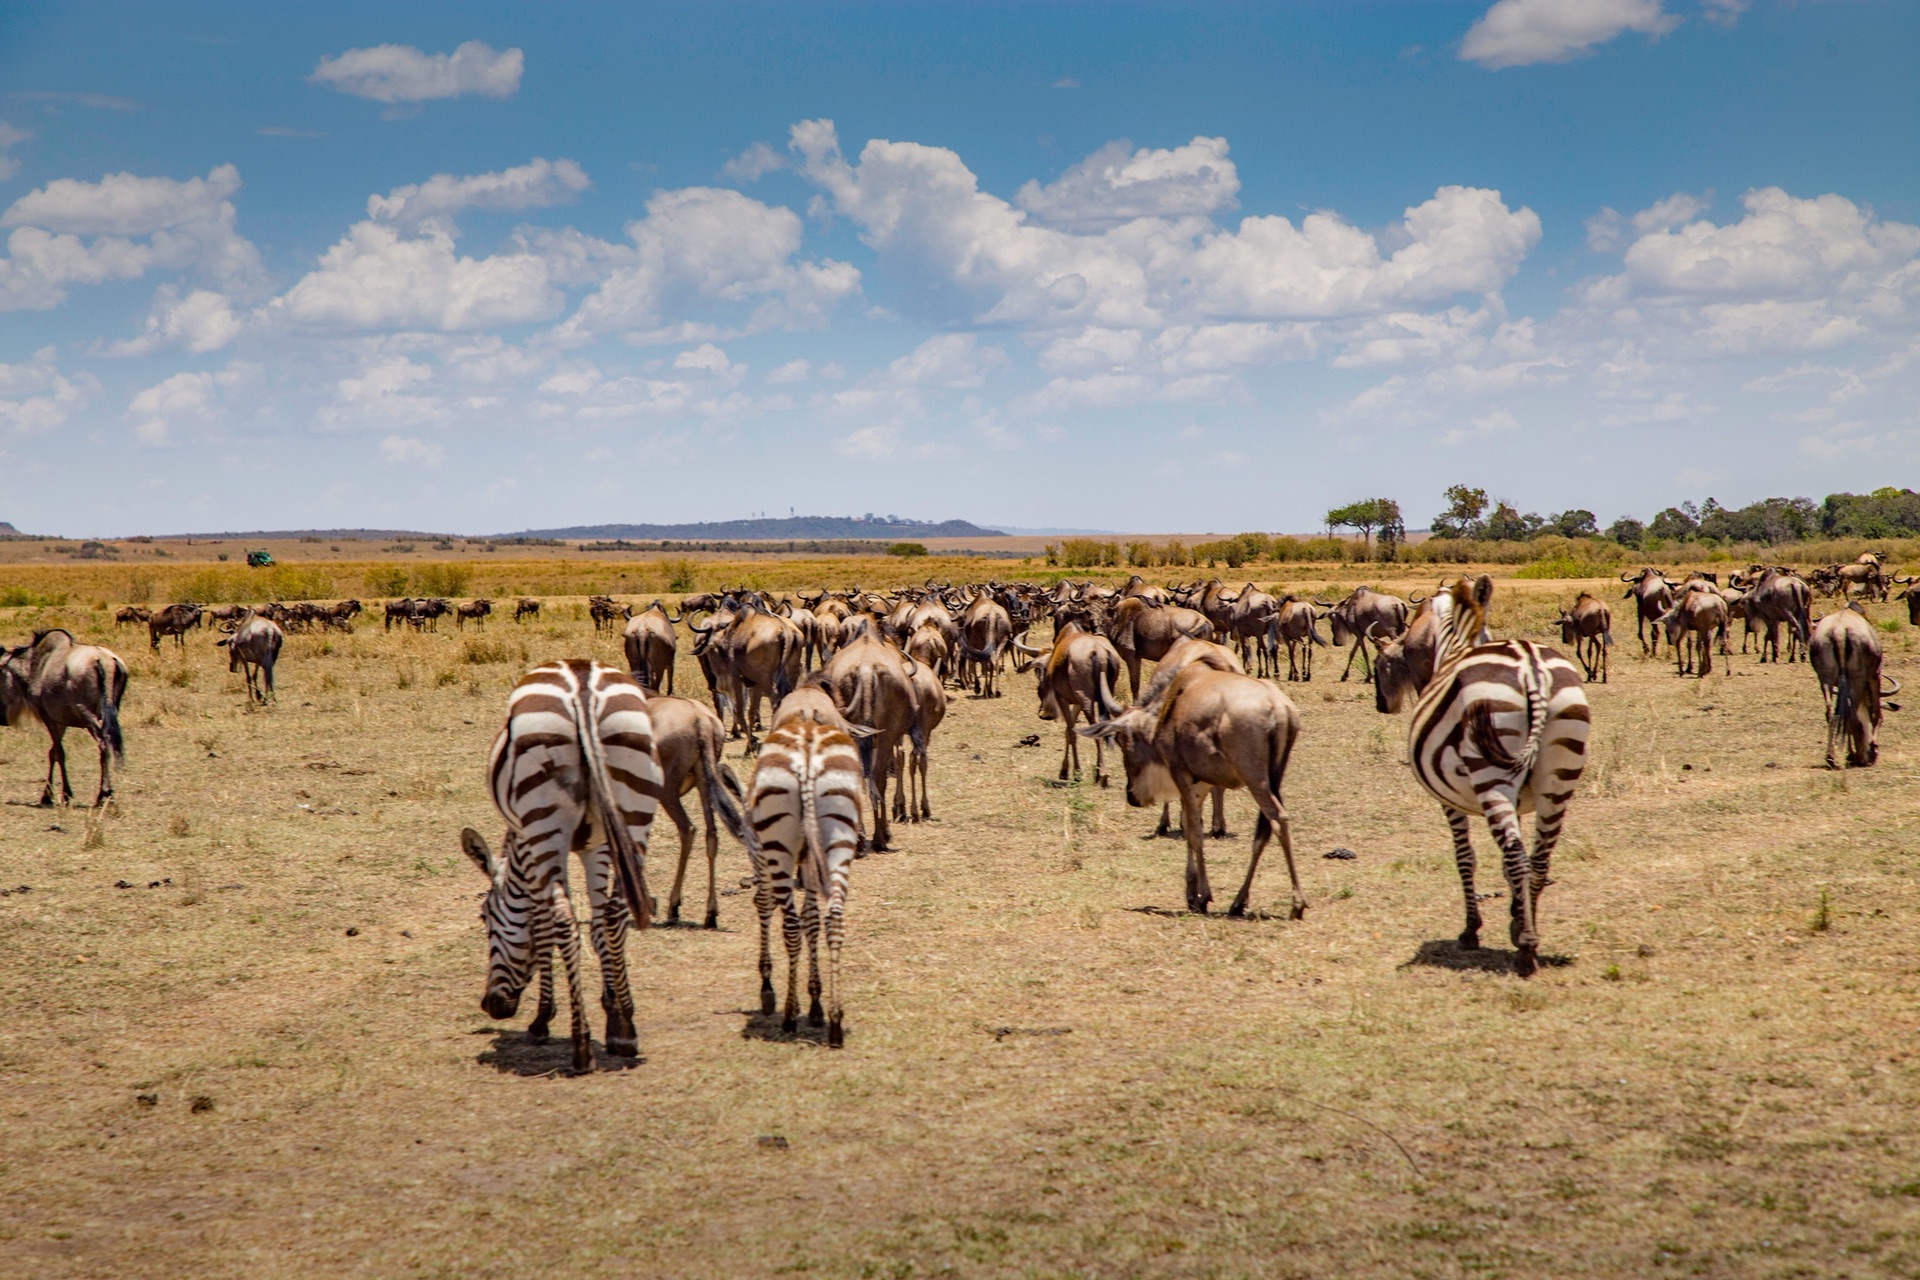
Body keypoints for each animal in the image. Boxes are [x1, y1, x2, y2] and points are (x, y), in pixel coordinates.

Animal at [460, 660, 664, 1074]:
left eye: (484, 916)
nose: (491, 1006)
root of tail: (582, 683)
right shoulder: (596, 843)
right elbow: (600, 924)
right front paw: (615, 1012)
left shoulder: (532, 847)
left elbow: (543, 923)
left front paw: (542, 1019)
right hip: (634, 803)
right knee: (616, 912)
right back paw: (624, 1032)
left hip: (544, 818)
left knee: (564, 919)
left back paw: (581, 1046)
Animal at [744, 694, 867, 1043]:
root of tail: (808, 753)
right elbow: (812, 920)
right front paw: (815, 1003)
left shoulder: (759, 853)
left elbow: (764, 904)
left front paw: (768, 990)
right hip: (839, 835)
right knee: (833, 918)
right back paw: (835, 1021)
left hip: (778, 848)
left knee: (789, 925)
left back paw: (788, 1015)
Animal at [1397, 575, 1589, 974]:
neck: (1457, 644)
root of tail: (1531, 666)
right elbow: (1506, 862)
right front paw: (1516, 915)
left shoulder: (1448, 802)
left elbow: (1465, 857)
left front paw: (1472, 930)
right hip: (1560, 771)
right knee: (1538, 858)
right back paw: (1528, 933)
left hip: (1490, 772)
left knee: (1517, 855)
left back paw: (1527, 948)